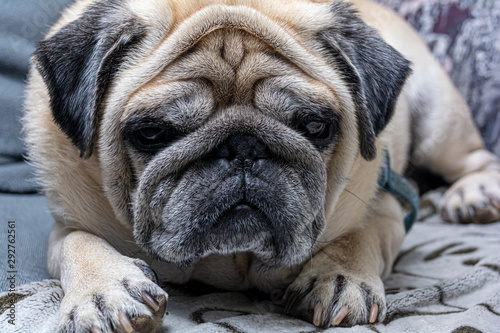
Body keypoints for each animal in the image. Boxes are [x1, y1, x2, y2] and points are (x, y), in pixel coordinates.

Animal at [24, 0, 500, 330]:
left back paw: (472, 195)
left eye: (315, 125)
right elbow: (79, 243)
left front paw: (340, 276)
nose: (242, 150)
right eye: (153, 133)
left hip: (438, 117)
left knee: (474, 158)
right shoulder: (67, 222)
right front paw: (103, 290)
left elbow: (359, 236)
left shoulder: (383, 205)